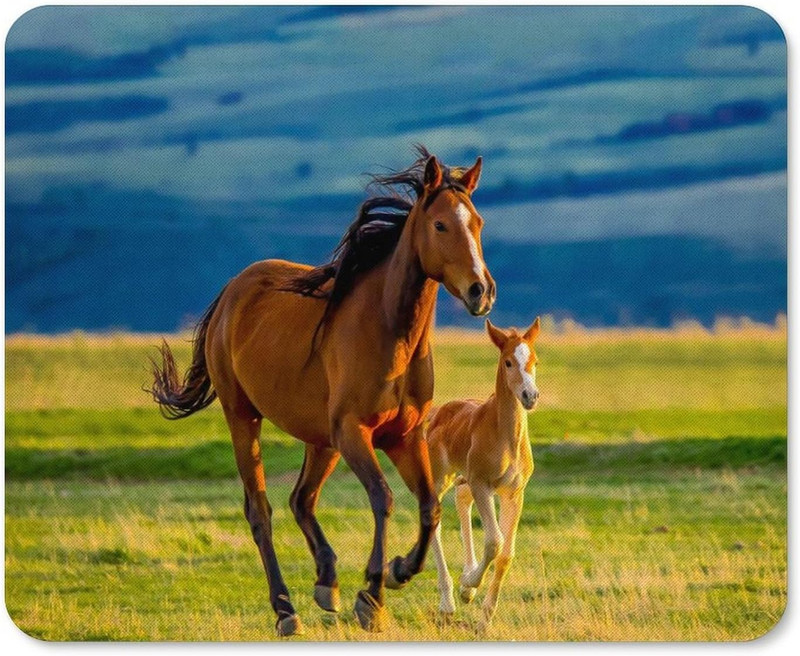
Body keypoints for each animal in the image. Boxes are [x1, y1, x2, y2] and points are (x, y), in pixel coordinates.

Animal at [149, 146, 496, 635]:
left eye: (477, 222)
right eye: (441, 225)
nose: (481, 291)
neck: (390, 333)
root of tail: (232, 292)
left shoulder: (404, 437)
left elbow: (430, 507)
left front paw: (398, 570)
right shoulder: (355, 433)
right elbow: (383, 499)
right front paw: (372, 596)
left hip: (321, 441)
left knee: (302, 499)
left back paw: (326, 581)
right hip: (244, 418)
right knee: (261, 511)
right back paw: (285, 609)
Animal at [426, 317, 540, 632]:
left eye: (535, 361)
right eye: (508, 362)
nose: (530, 396)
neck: (506, 436)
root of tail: (437, 412)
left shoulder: (514, 493)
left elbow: (506, 553)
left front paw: (485, 618)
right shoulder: (482, 484)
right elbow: (494, 541)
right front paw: (468, 586)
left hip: (464, 479)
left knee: (461, 500)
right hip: (441, 478)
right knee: (434, 518)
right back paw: (448, 601)